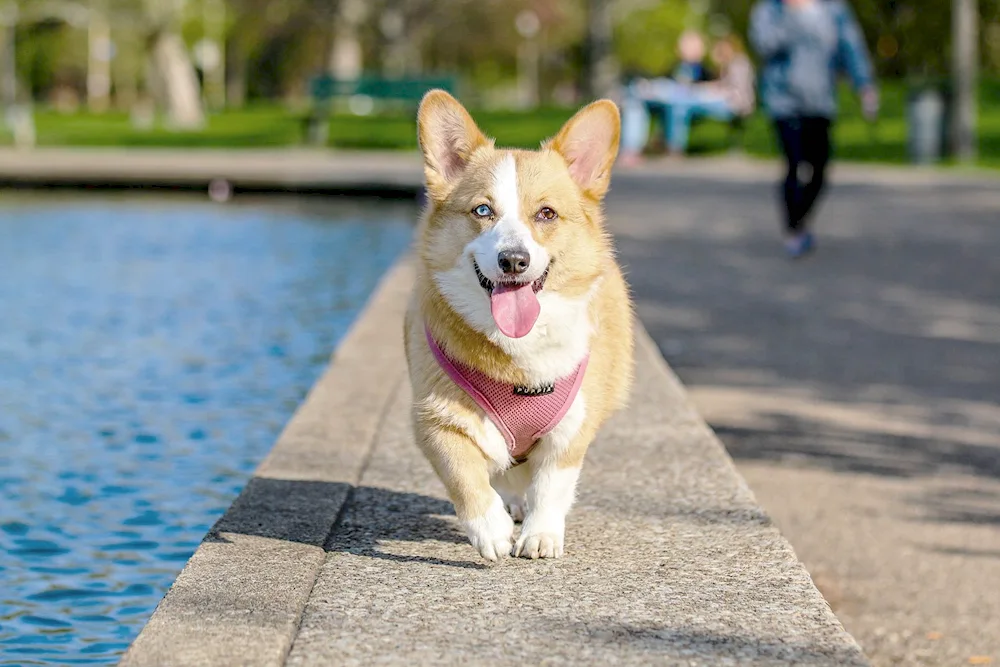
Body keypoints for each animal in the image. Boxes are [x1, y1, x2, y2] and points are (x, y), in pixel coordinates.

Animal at [404, 90, 632, 564]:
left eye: (546, 213)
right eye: (483, 210)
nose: (513, 261)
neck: (518, 353)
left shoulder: (572, 428)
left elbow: (552, 485)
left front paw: (540, 535)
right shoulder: (435, 420)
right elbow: (465, 476)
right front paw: (490, 530)